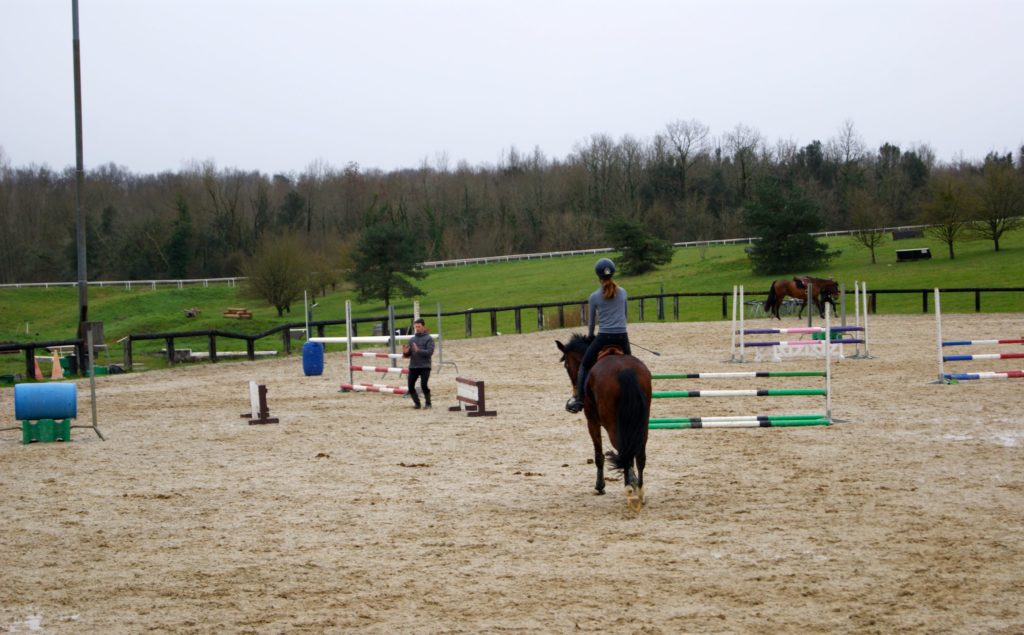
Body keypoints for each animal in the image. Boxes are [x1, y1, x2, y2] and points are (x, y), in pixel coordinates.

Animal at [557, 331, 651, 510]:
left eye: (566, 365)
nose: (574, 395)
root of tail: (625, 371)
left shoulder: (592, 421)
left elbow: (598, 455)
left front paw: (599, 486)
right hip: (642, 424)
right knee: (639, 453)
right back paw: (640, 491)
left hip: (612, 424)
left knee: (624, 451)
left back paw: (629, 489)